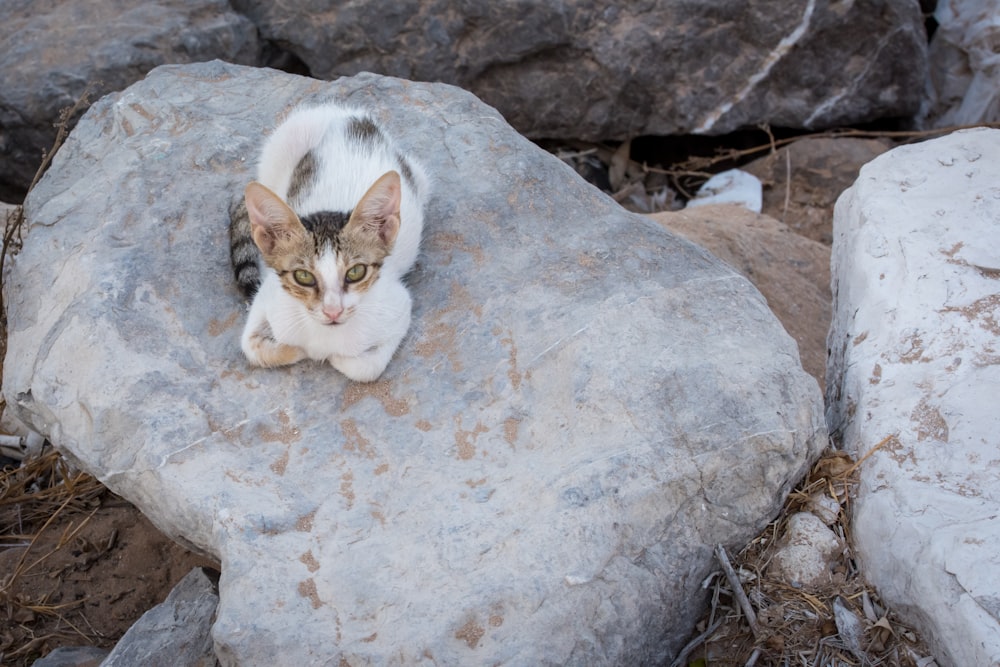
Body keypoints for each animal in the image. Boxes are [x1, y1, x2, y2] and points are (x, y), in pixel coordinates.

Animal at [229, 105, 426, 384]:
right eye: (303, 276)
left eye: (356, 272)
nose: (333, 311)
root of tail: (351, 114)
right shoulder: (268, 297)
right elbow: (253, 346)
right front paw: (300, 350)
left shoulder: (399, 307)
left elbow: (365, 368)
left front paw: (331, 356)